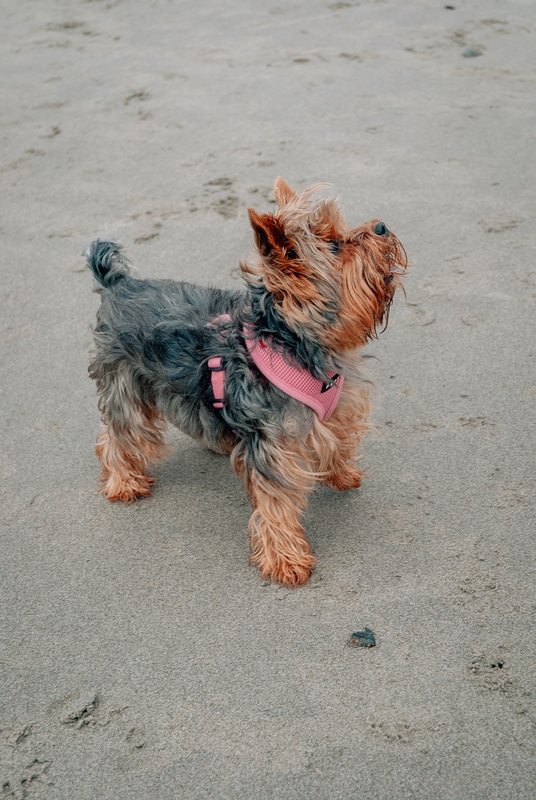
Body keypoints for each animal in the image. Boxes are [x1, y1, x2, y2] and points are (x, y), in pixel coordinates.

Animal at [87, 178, 406, 584]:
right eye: (335, 245)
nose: (381, 226)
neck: (291, 338)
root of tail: (119, 283)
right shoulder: (272, 440)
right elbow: (276, 502)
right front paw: (286, 560)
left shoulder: (336, 403)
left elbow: (338, 437)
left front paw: (342, 473)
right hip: (123, 377)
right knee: (119, 430)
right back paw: (124, 482)